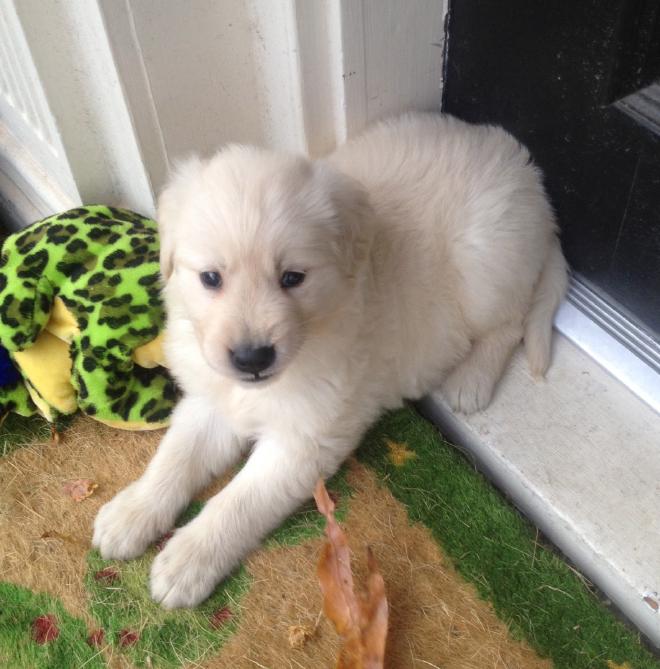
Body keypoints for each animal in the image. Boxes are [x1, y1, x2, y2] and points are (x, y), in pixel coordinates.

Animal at [92, 112, 568, 608]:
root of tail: (526, 174)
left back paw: (471, 379)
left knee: (510, 322)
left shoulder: (304, 441)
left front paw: (189, 558)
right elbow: (174, 457)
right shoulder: (210, 400)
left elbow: (238, 501)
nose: (251, 357)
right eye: (210, 278)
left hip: (485, 266)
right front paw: (133, 510)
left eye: (292, 278)